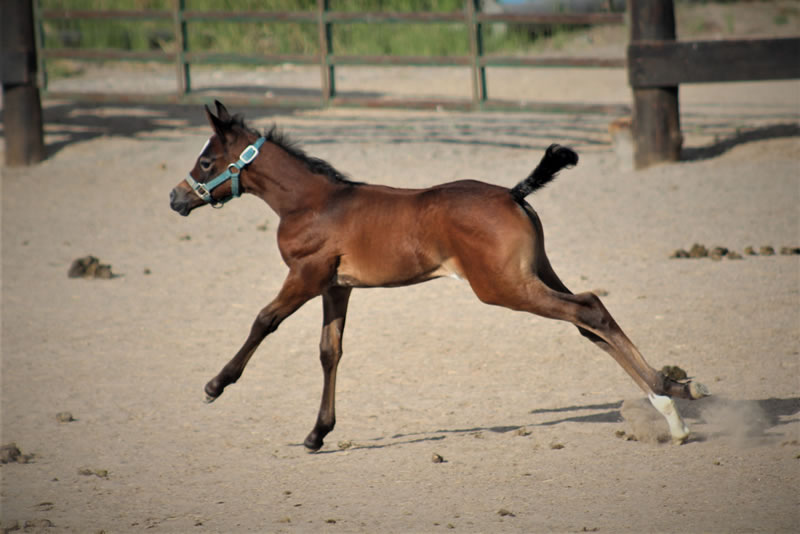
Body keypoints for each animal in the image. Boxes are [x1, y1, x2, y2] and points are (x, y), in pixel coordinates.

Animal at [169, 101, 708, 452]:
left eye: (206, 160)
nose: (176, 198)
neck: (313, 203)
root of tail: (513, 193)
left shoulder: (305, 275)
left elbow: (263, 321)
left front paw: (215, 385)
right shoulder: (336, 288)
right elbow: (329, 352)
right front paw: (318, 432)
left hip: (503, 288)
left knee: (589, 308)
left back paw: (668, 406)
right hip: (536, 274)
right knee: (589, 320)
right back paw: (675, 392)